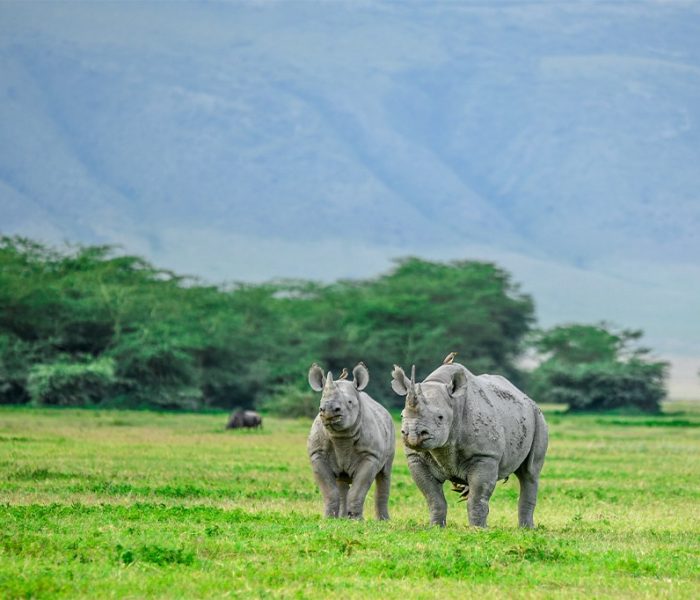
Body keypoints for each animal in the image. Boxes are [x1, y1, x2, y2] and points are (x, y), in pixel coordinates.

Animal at [307, 362, 395, 520]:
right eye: (321, 404)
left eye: (349, 402)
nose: (329, 410)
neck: (341, 438)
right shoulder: (317, 454)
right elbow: (329, 489)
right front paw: (329, 518)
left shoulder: (370, 455)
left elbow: (359, 488)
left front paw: (356, 520)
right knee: (341, 481)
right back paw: (342, 518)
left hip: (391, 427)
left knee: (385, 474)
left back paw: (383, 520)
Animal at [392, 362, 548, 528]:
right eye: (401, 415)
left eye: (440, 417)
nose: (412, 435)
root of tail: (527, 398)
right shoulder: (416, 458)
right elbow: (433, 497)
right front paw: (436, 527)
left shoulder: (485, 455)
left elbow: (477, 496)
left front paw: (478, 528)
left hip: (538, 417)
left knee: (529, 473)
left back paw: (526, 528)